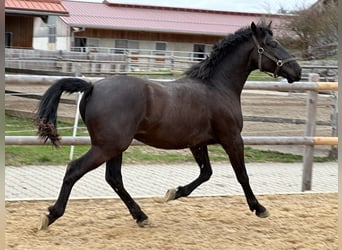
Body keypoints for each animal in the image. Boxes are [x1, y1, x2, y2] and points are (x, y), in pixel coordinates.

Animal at [35, 22, 302, 229]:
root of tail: (92, 87)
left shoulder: (198, 143)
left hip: (114, 147)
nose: (297, 71)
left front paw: (173, 193)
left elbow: (206, 173)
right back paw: (51, 216)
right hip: (107, 146)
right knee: (75, 170)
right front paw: (259, 208)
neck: (217, 87)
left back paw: (142, 217)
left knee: (114, 179)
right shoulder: (232, 138)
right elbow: (242, 175)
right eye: (272, 44)